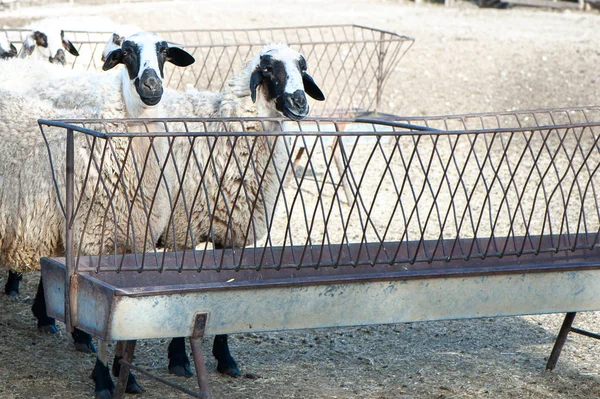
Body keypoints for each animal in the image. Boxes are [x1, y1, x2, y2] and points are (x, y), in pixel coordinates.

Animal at [157, 43, 326, 382]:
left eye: (302, 69)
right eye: (269, 70)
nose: (300, 102)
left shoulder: (234, 231)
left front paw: (226, 359)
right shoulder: (181, 230)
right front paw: (179, 359)